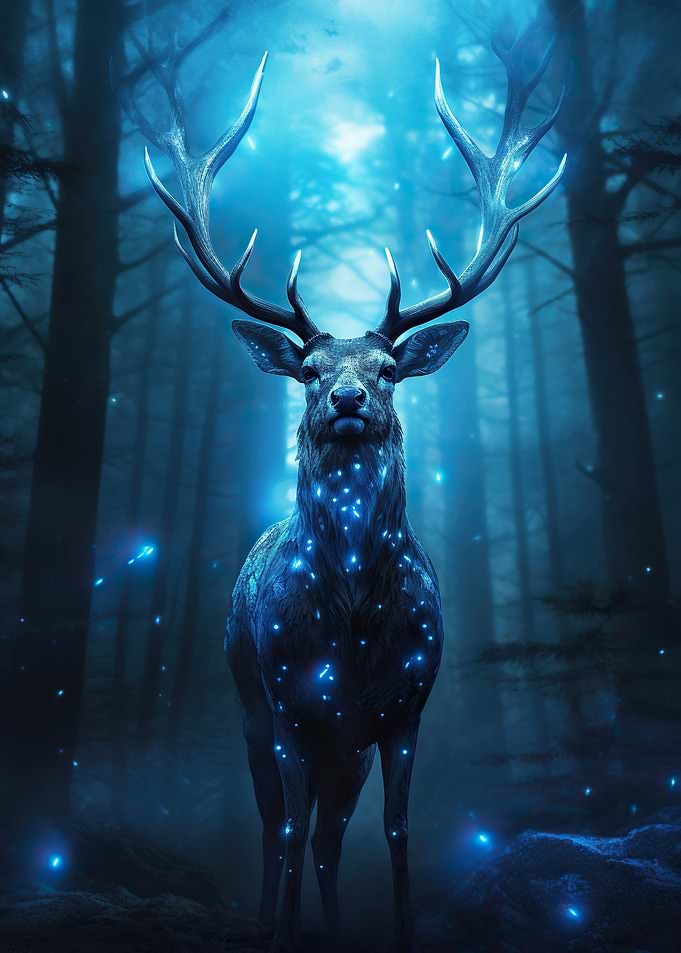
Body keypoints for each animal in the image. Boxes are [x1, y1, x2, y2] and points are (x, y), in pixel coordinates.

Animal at [126, 24, 565, 953]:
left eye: (390, 367)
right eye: (308, 369)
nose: (349, 399)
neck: (355, 624)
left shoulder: (402, 710)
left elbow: (393, 832)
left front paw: (396, 928)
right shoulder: (289, 707)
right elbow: (287, 827)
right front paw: (281, 931)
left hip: (346, 749)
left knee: (329, 837)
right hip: (253, 707)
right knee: (280, 826)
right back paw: (273, 916)